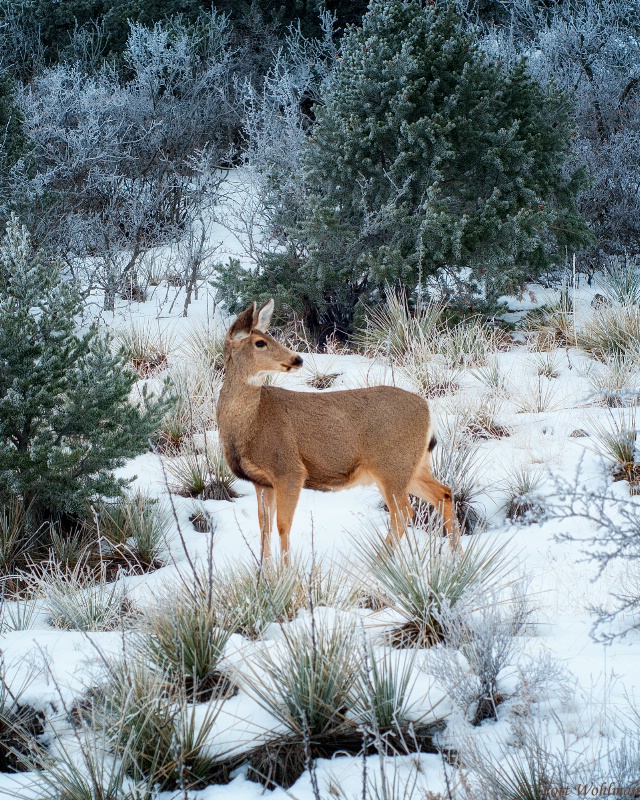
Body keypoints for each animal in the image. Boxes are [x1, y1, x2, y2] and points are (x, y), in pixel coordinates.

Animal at [218, 296, 458, 560]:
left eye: (268, 338)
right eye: (260, 342)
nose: (297, 359)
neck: (249, 424)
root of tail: (428, 410)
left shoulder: (289, 470)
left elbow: (282, 526)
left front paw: (286, 570)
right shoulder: (261, 480)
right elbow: (264, 527)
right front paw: (265, 568)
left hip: (392, 465)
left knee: (404, 512)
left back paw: (380, 560)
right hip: (413, 465)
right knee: (444, 494)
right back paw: (455, 555)